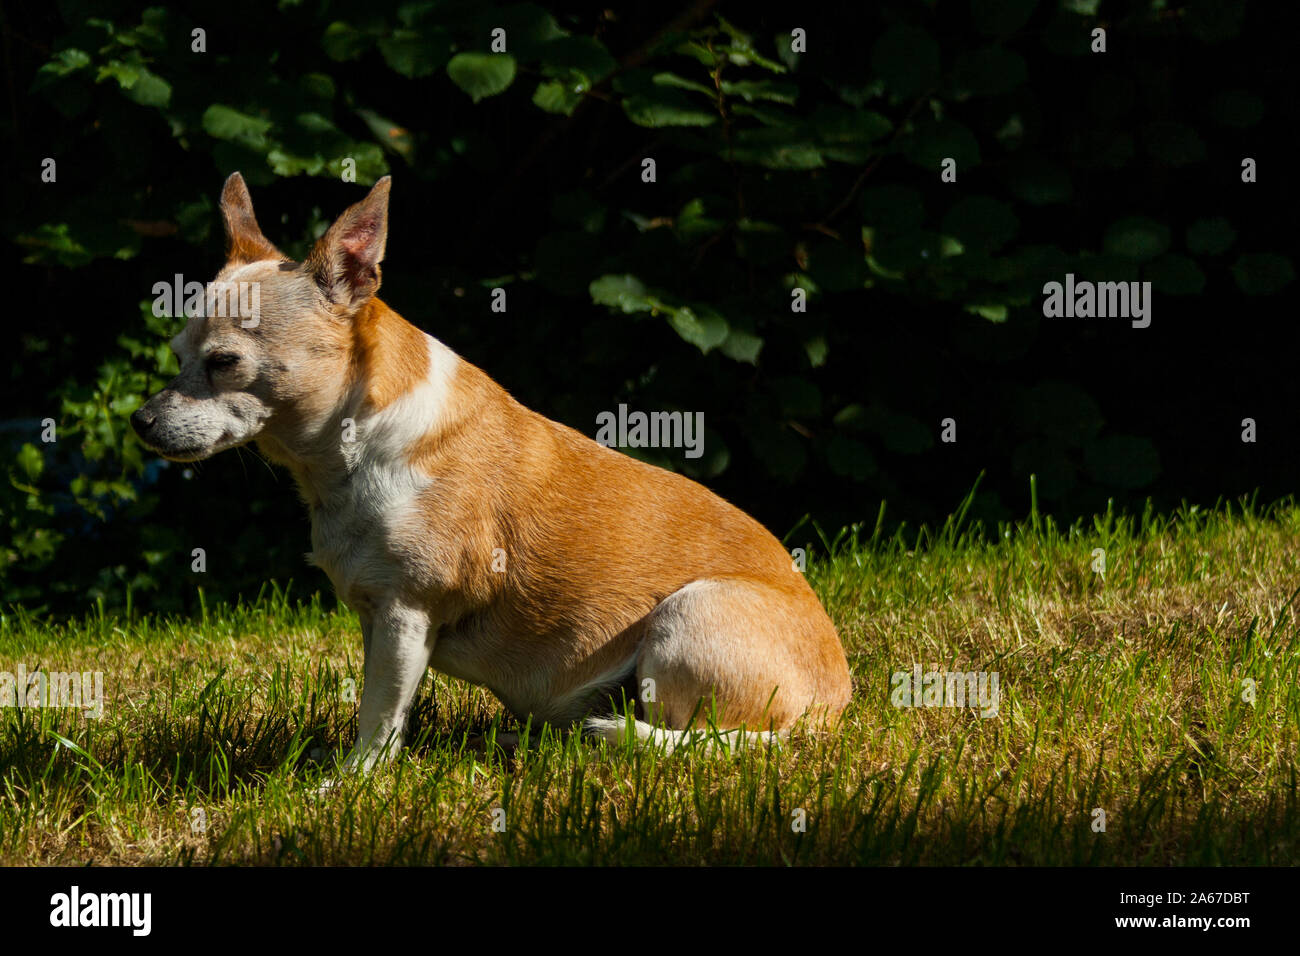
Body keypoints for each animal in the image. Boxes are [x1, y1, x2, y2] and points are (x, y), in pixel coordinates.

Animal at [131, 171, 852, 770]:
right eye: (176, 356)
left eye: (223, 363)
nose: (140, 420)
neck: (343, 457)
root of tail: (832, 708)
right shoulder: (381, 620)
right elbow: (384, 706)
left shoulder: (406, 612)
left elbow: (379, 716)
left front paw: (350, 783)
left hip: (687, 616)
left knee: (703, 736)